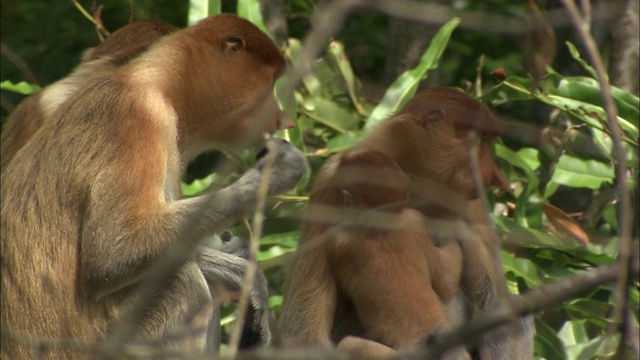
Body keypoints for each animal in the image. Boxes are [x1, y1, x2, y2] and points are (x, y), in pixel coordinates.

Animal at [282, 87, 536, 360]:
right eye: (482, 140)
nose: (493, 177)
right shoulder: (331, 182)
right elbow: (303, 336)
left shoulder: (470, 203)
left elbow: (499, 306)